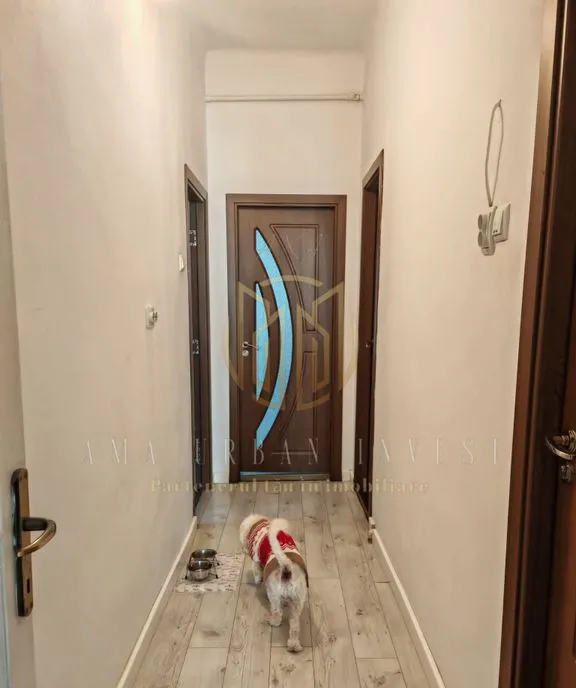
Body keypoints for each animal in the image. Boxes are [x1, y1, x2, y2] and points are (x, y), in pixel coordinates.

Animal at [239, 514, 308, 653]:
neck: (259, 524)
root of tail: (286, 568)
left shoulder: (256, 562)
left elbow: (257, 573)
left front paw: (258, 581)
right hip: (298, 601)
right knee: (294, 625)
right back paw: (294, 645)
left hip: (275, 596)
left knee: (277, 614)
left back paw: (273, 622)